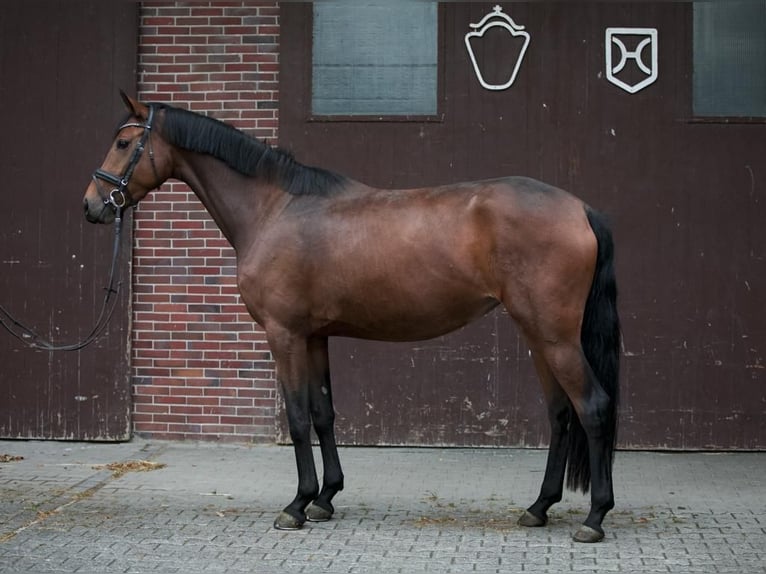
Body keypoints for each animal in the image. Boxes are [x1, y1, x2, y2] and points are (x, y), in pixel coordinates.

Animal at [85, 93, 624, 544]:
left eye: (124, 143)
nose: (93, 205)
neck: (275, 209)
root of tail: (580, 209)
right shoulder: (315, 337)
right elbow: (323, 413)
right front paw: (325, 498)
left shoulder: (284, 335)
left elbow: (297, 416)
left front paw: (297, 505)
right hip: (538, 334)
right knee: (560, 414)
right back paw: (539, 508)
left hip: (555, 337)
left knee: (593, 407)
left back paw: (595, 517)